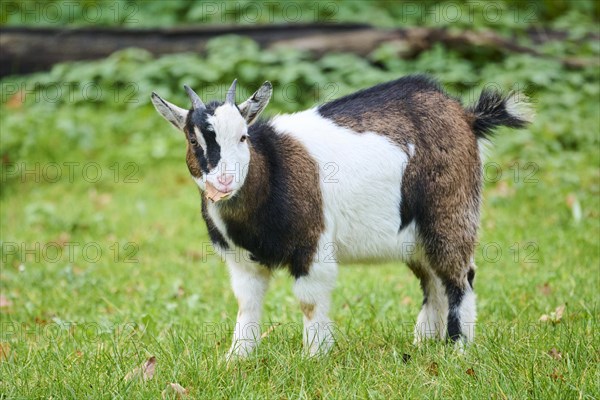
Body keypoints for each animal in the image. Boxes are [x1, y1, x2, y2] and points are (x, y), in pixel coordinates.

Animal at [151, 76, 536, 358]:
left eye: (243, 136)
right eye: (193, 140)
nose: (224, 181)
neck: (272, 170)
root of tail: (466, 116)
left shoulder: (312, 246)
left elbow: (309, 301)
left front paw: (314, 356)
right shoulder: (241, 260)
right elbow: (247, 303)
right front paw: (236, 358)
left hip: (451, 211)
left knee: (459, 276)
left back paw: (458, 349)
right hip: (414, 235)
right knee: (433, 280)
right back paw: (424, 343)